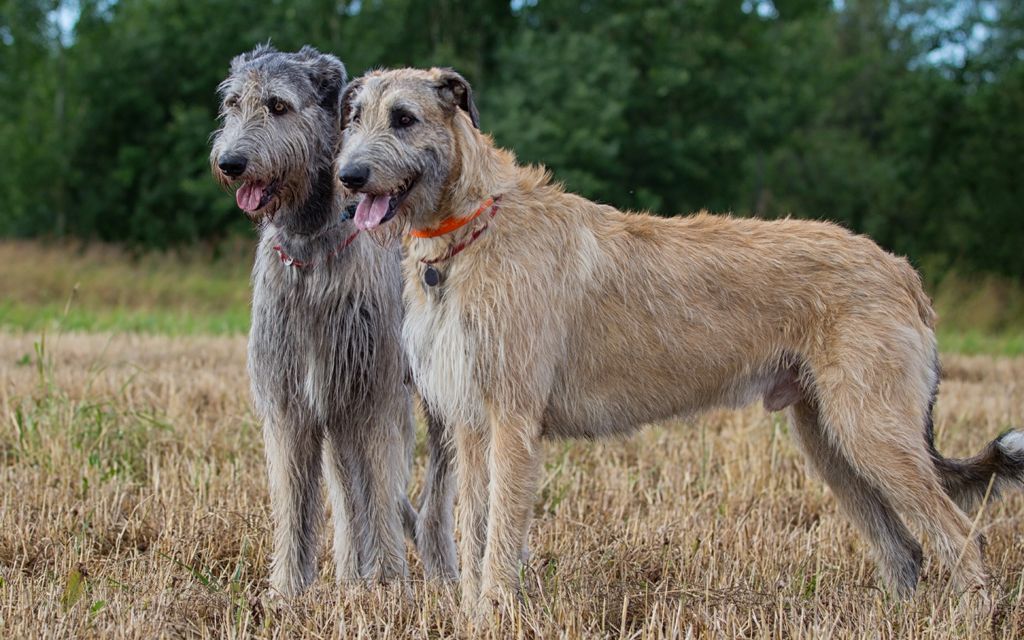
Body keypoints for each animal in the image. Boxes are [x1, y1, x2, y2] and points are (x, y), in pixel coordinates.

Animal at [207, 45, 456, 593]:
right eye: (233, 104)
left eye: (278, 106)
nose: (230, 162)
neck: (309, 249)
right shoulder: (292, 398)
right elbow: (295, 498)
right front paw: (287, 589)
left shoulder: (374, 393)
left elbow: (380, 489)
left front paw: (388, 583)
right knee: (347, 490)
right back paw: (348, 572)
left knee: (436, 489)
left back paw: (442, 566)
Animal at [335, 66, 1024, 614]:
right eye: (354, 117)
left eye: (404, 118)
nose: (347, 177)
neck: (471, 227)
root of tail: (901, 269)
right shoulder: (475, 425)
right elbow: (475, 528)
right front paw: (474, 611)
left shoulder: (512, 420)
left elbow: (500, 532)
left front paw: (495, 610)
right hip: (830, 440)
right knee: (905, 549)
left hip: (871, 429)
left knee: (962, 533)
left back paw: (970, 616)